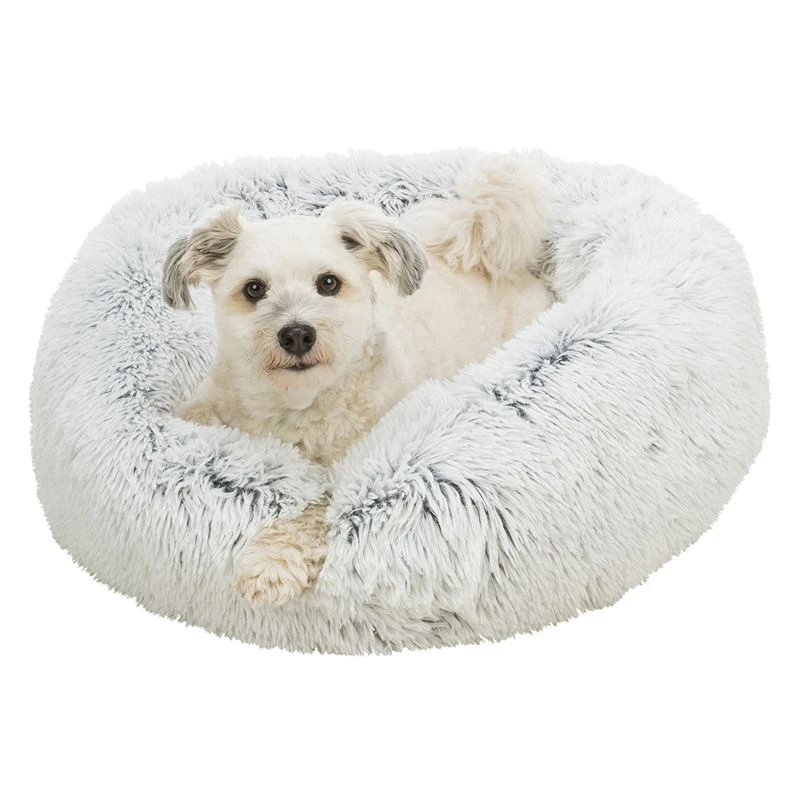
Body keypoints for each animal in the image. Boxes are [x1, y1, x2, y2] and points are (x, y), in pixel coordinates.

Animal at [162, 155, 554, 605]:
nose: (297, 334)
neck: (296, 404)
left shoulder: (355, 469)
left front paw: (270, 563)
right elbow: (194, 414)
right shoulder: (218, 401)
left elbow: (312, 514)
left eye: (328, 282)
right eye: (254, 289)